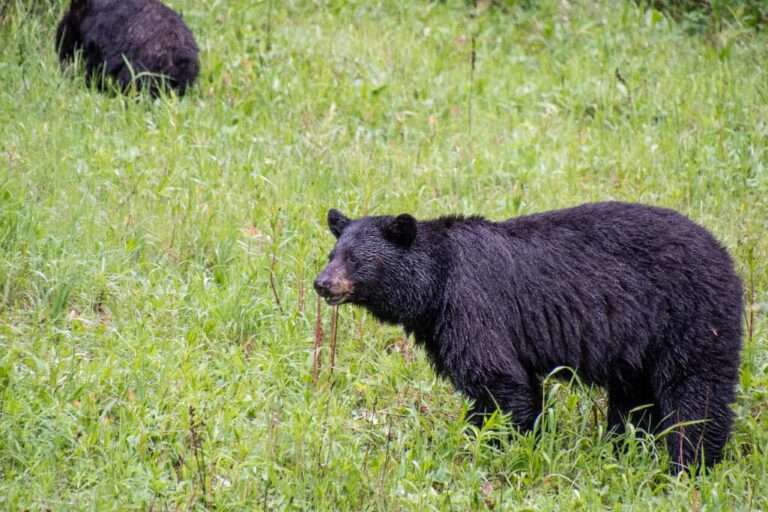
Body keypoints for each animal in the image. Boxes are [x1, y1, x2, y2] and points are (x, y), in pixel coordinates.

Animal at [314, 201, 744, 472]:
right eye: (333, 253)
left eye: (355, 259)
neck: (436, 284)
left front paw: (495, 447)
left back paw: (688, 464)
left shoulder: (473, 306)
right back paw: (623, 448)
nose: (322, 283)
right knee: (635, 401)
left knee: (696, 393)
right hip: (638, 347)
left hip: (689, 318)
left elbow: (500, 382)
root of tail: (726, 256)